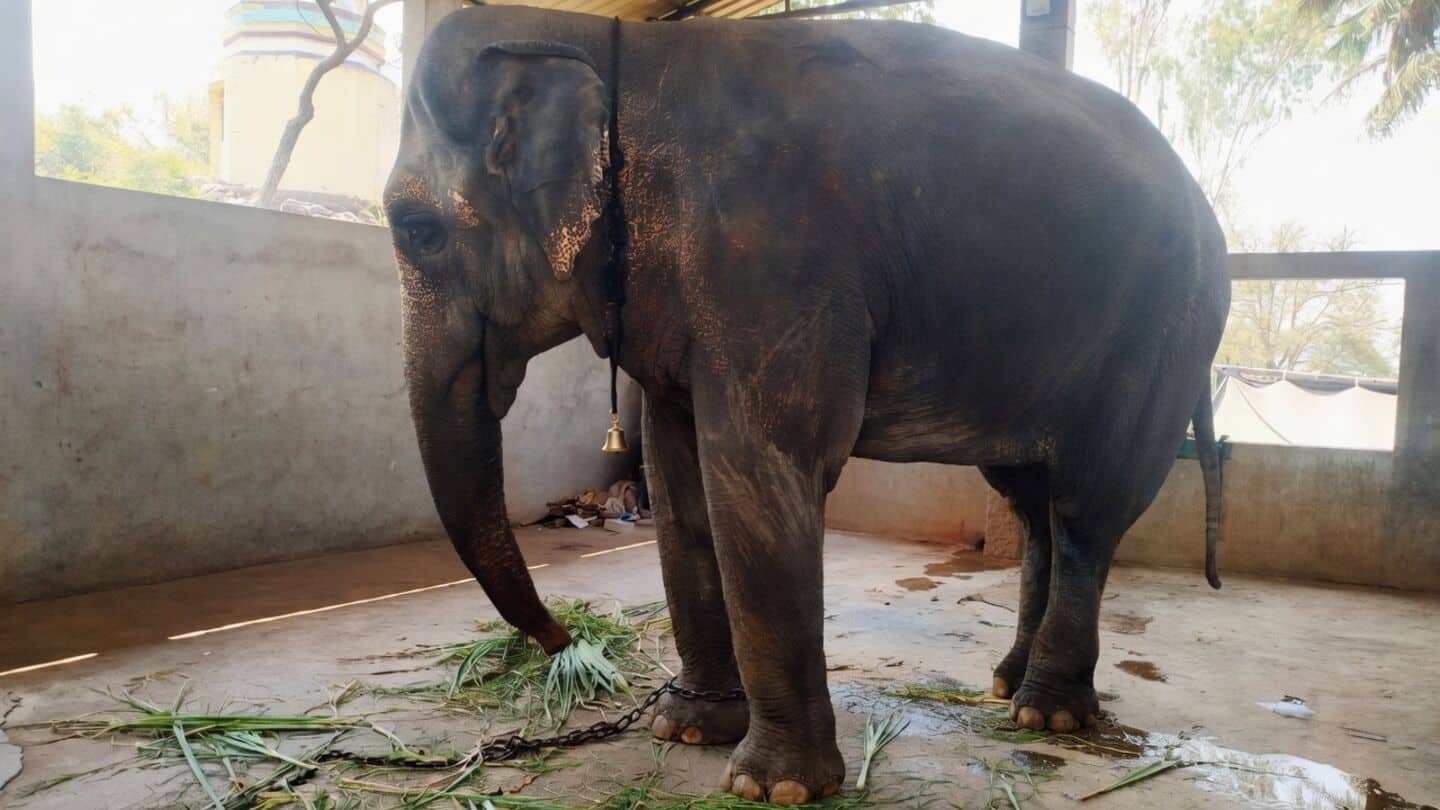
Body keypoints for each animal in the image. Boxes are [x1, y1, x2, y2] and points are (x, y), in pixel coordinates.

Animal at [385, 5, 1228, 804]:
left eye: (416, 230)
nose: (566, 642)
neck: (613, 47)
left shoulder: (773, 261)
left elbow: (762, 472)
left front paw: (775, 787)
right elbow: (679, 484)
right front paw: (687, 730)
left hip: (1163, 333)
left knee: (1088, 508)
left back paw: (1045, 714)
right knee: (1031, 503)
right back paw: (1007, 685)